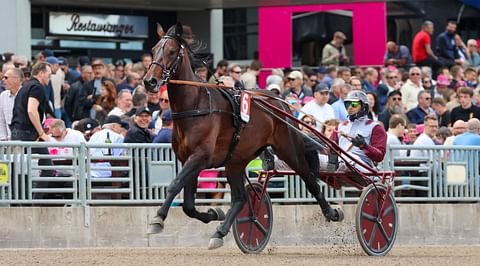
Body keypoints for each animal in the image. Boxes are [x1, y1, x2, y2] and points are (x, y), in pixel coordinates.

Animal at [144, 22, 344, 249]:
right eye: (153, 50)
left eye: (171, 51)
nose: (150, 81)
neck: (196, 105)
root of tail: (279, 100)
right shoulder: (189, 159)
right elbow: (188, 205)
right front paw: (214, 213)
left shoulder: (200, 156)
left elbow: (174, 185)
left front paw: (157, 219)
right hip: (236, 160)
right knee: (240, 198)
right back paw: (220, 232)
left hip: (289, 149)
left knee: (310, 179)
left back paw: (331, 212)